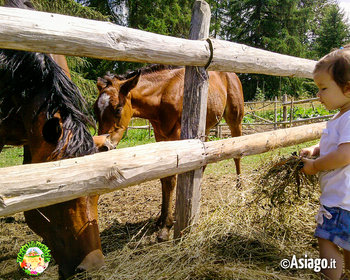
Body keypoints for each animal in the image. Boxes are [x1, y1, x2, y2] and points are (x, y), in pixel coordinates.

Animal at [94, 65, 245, 241]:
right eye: (95, 111)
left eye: (117, 109)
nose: (103, 146)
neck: (162, 97)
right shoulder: (161, 137)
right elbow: (164, 178)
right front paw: (161, 219)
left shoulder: (177, 136)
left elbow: (171, 179)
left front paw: (166, 227)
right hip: (205, 127)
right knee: (204, 160)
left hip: (235, 118)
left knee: (237, 153)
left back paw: (240, 190)